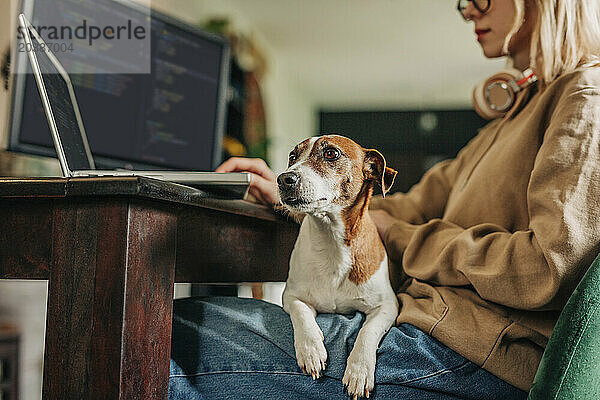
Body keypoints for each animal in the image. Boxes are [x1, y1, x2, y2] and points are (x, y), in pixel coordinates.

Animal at [278, 136, 400, 398]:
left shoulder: (387, 307)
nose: (283, 179)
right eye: (293, 156)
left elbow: (367, 331)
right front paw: (311, 349)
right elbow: (302, 315)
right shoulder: (292, 297)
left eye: (331, 153)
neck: (331, 240)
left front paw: (359, 371)